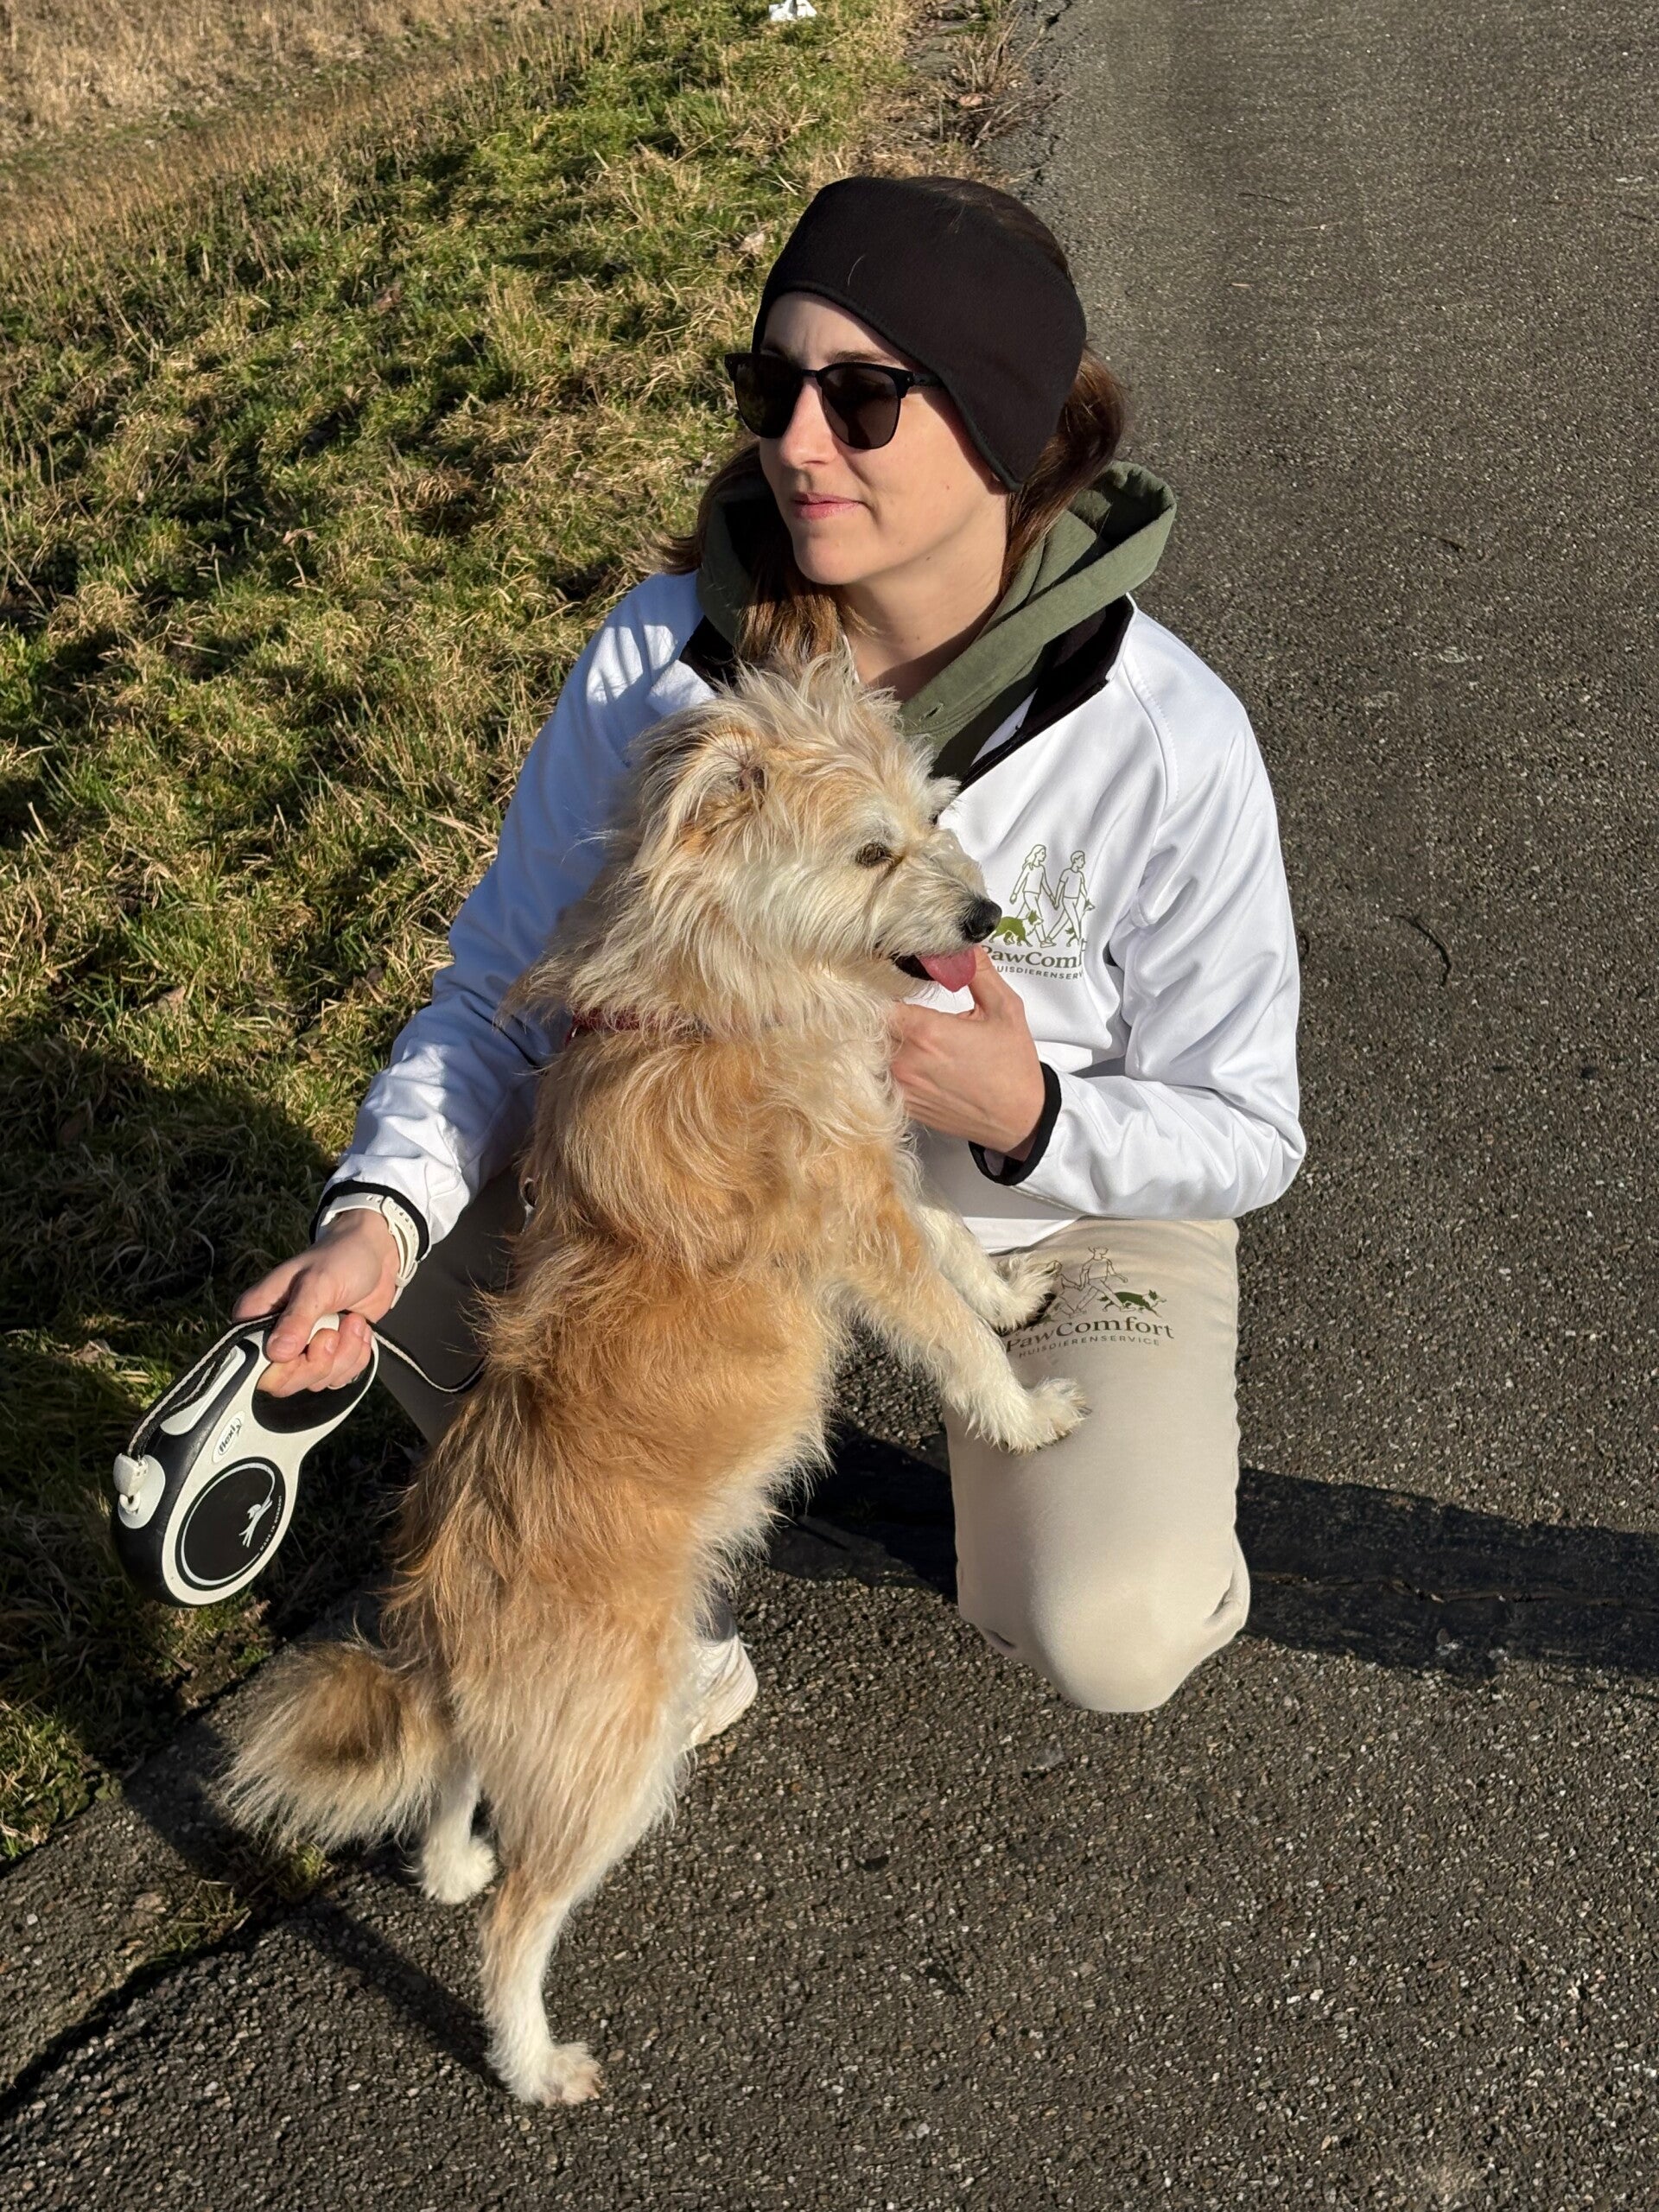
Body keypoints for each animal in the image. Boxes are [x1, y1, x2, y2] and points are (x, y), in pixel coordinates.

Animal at [220, 653, 1086, 2106]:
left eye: (931, 815)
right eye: (870, 849)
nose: (984, 913)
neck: (721, 987)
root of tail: (445, 1598)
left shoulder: (879, 1169)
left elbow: (960, 1247)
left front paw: (1017, 1293)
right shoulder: (855, 1220)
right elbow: (945, 1327)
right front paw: (1019, 1413)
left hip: (542, 1718)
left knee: (462, 1791)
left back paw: (450, 1859)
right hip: (608, 1749)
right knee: (520, 1919)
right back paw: (530, 2063)